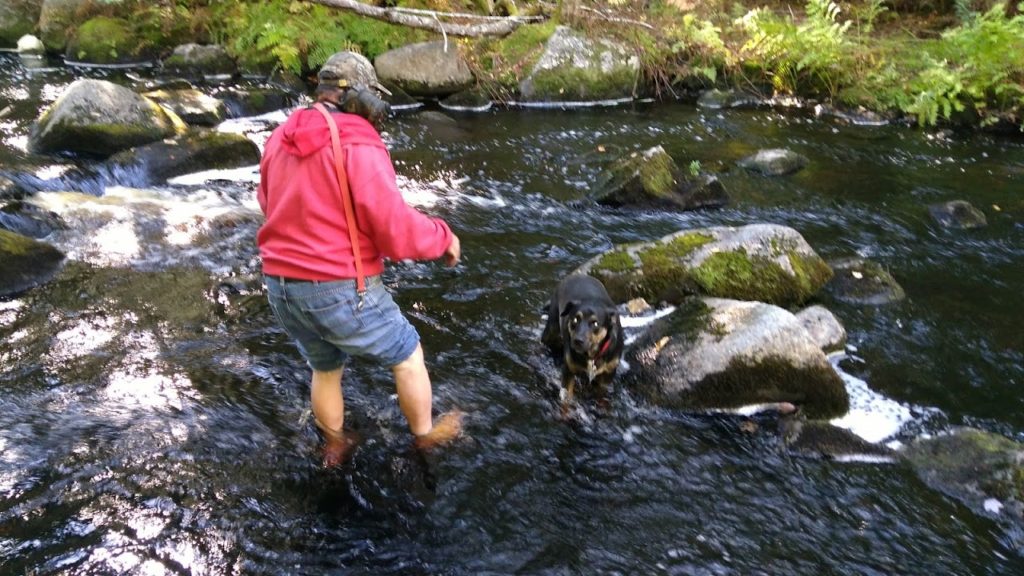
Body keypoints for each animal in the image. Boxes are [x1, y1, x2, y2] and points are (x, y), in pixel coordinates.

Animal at [540, 272, 626, 412]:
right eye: (575, 319)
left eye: (595, 323)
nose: (577, 340)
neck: (592, 356)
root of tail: (576, 275)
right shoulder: (569, 371)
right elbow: (566, 399)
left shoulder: (607, 377)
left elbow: (602, 397)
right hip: (551, 328)